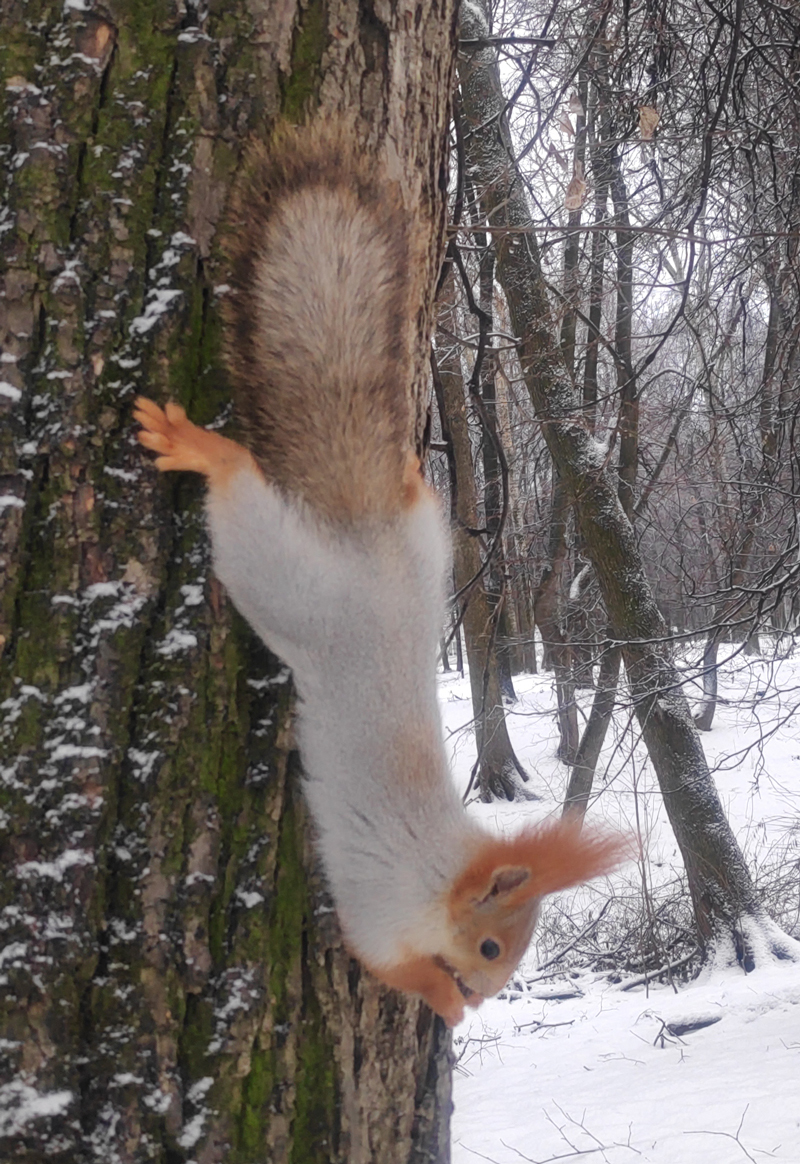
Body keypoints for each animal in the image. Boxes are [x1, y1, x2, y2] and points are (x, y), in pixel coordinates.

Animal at [136, 122, 624, 1024]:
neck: (438, 871)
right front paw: (444, 1000)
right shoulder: (379, 908)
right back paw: (198, 449)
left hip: (422, 544)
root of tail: (367, 543)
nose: (486, 996)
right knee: (236, 488)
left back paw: (404, 467)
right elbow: (387, 961)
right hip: (281, 576)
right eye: (493, 946)